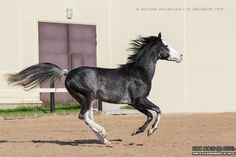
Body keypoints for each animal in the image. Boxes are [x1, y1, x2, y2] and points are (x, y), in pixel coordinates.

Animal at [6, 32, 183, 147]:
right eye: (166, 46)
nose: (181, 56)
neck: (138, 73)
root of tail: (68, 72)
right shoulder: (137, 101)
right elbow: (153, 113)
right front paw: (141, 131)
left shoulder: (138, 102)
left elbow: (157, 111)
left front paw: (148, 131)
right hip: (88, 96)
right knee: (83, 116)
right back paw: (104, 133)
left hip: (85, 99)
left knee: (86, 117)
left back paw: (105, 140)